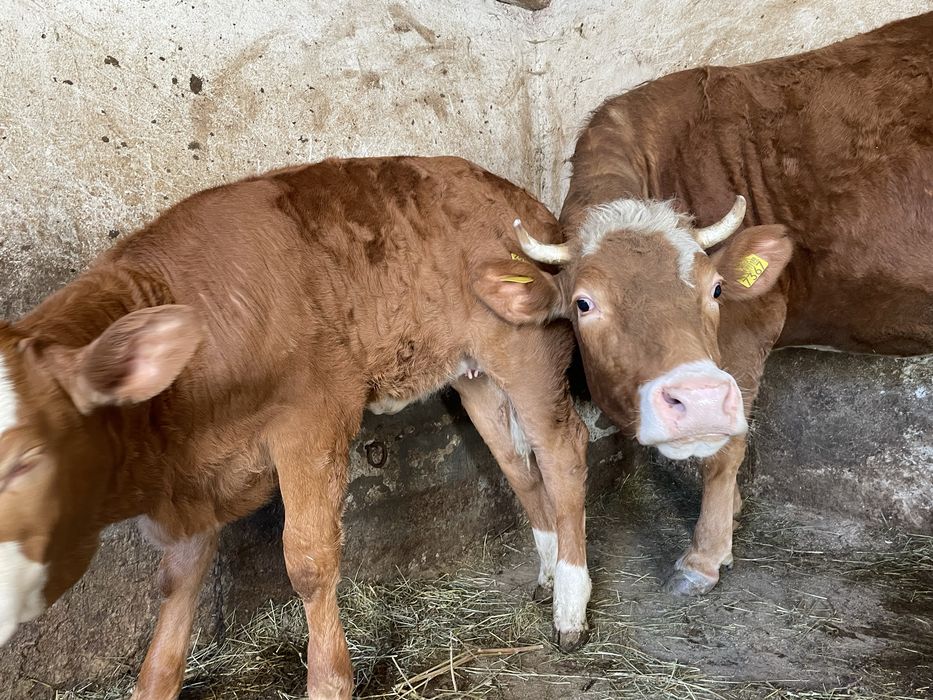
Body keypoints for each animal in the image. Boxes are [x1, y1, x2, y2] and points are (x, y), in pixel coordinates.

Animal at [0, 156, 592, 700]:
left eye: (28, 458)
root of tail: (520, 198)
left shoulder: (313, 420)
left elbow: (308, 560)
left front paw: (329, 681)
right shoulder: (192, 478)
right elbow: (179, 578)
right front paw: (155, 683)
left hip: (528, 353)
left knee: (563, 453)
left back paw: (570, 607)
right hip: (477, 378)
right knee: (517, 462)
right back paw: (546, 575)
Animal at [473, 12, 933, 596]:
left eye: (716, 289)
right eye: (583, 304)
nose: (698, 401)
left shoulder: (749, 325)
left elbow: (727, 447)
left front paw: (706, 553)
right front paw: (731, 513)